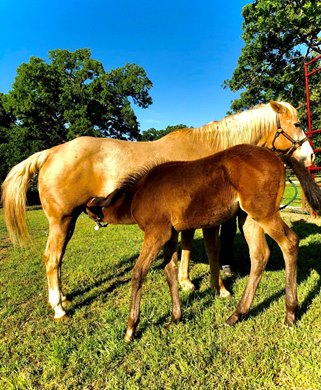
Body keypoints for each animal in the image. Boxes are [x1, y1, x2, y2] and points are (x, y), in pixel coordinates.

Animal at [1, 102, 312, 322]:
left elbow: (185, 248)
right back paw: (58, 308)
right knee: (52, 258)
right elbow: (210, 250)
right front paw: (220, 288)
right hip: (62, 219)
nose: (310, 156)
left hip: (70, 220)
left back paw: (63, 298)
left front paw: (186, 282)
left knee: (58, 259)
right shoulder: (206, 220)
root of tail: (50, 152)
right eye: (297, 123)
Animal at [86, 144, 320, 342]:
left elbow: (138, 272)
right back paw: (237, 314)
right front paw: (175, 318)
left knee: (290, 242)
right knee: (260, 255)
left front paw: (131, 329)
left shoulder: (157, 232)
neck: (137, 195)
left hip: (263, 212)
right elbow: (170, 270)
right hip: (248, 217)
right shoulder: (171, 234)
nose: (91, 217)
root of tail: (275, 155)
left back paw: (290, 314)